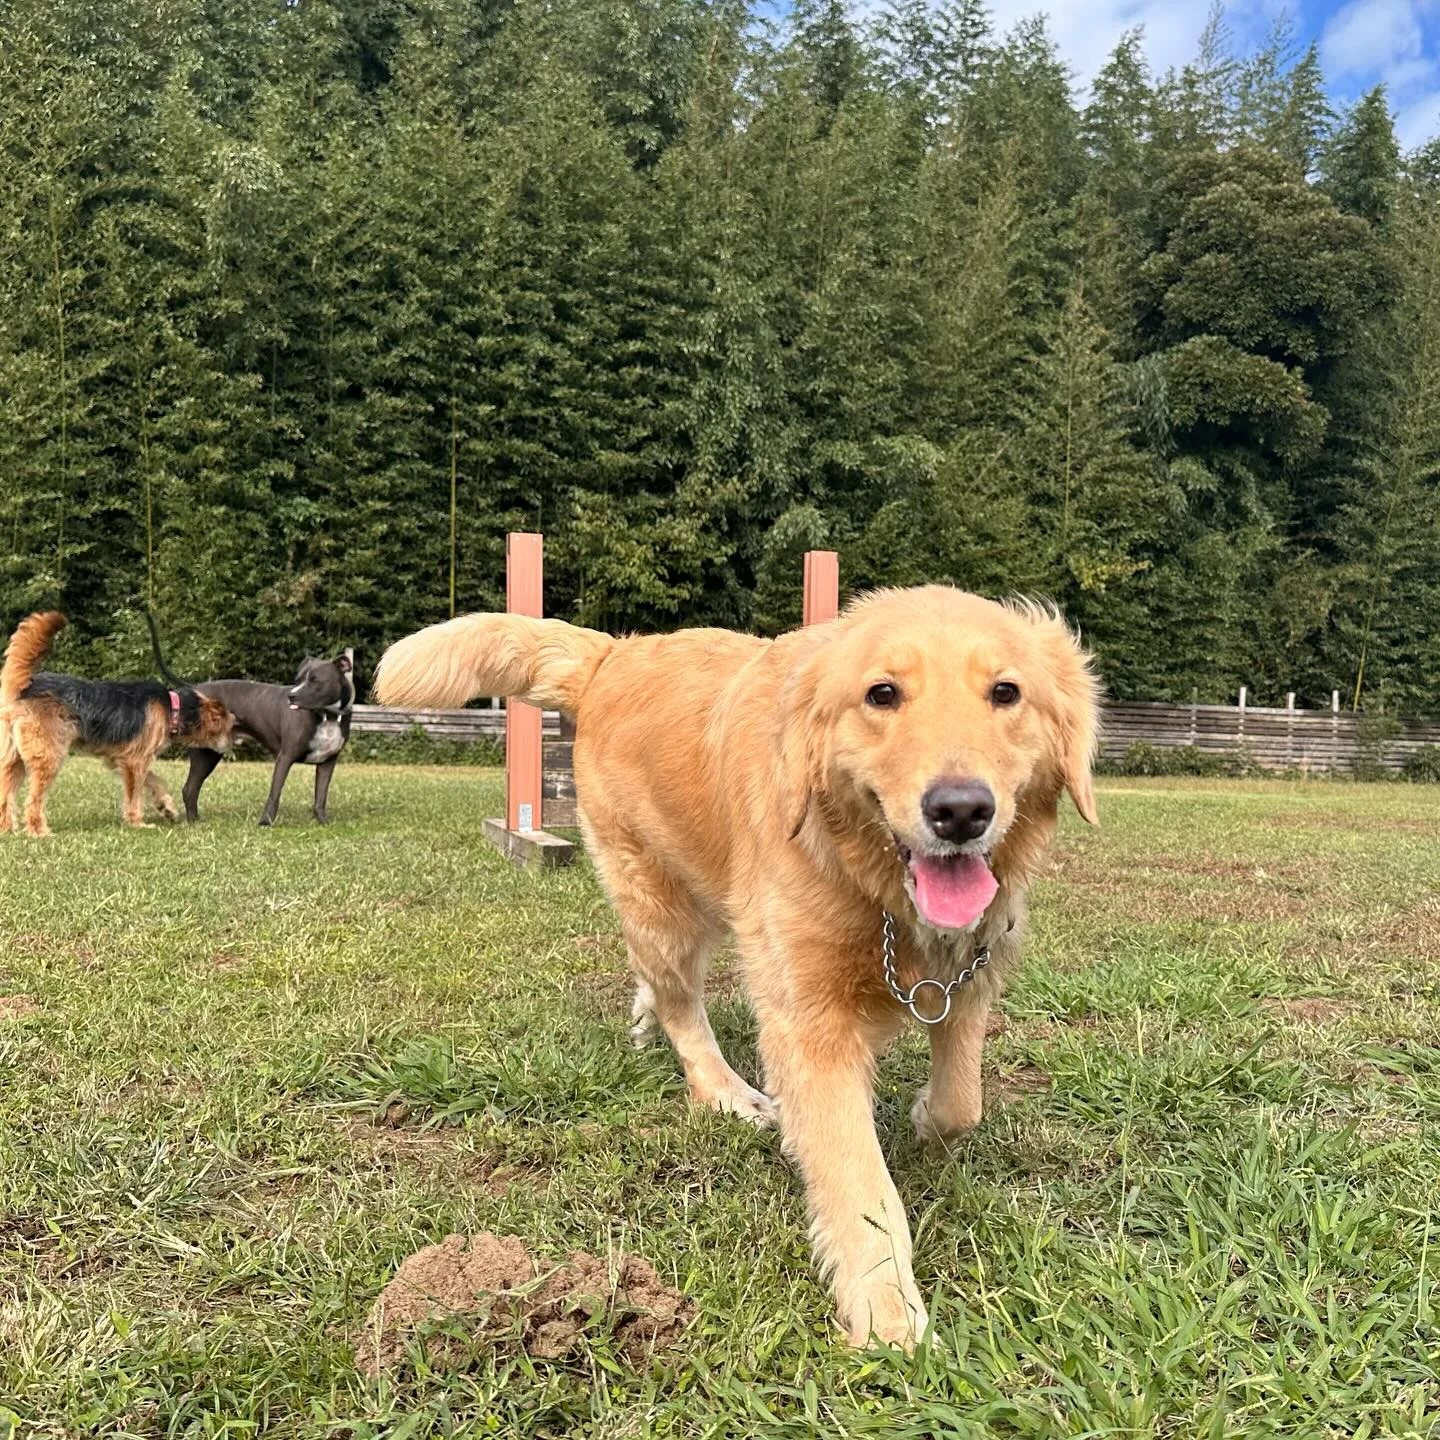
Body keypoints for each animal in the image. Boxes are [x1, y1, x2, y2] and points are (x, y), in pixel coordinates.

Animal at [0, 613, 233, 840]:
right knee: (33, 800)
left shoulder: (124, 759)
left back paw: (8, 828)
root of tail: (24, 686)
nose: (234, 736)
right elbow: (135, 795)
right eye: (225, 723)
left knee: (6, 796)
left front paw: (166, 806)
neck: (173, 709)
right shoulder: (135, 761)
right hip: (48, 756)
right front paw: (138, 823)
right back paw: (39, 831)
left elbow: (153, 780)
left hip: (14, 759)